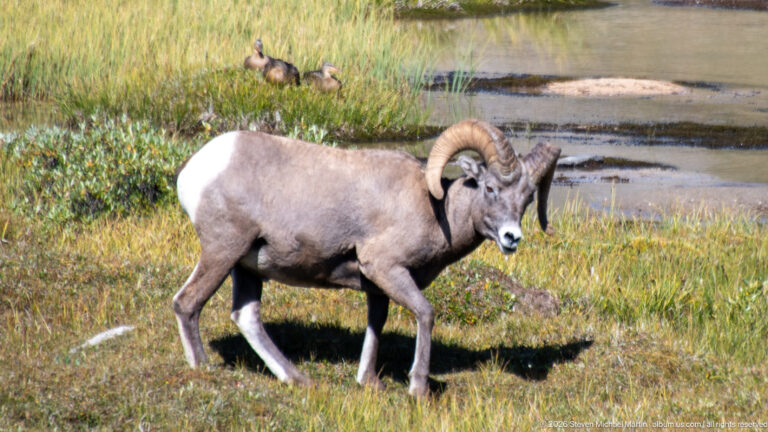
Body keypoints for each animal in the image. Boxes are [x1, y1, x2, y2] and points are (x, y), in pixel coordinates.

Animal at [173, 119, 560, 397]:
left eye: (527, 198)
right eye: (490, 188)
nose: (512, 238)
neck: (437, 210)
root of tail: (194, 171)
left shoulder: (377, 284)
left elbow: (377, 323)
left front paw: (368, 382)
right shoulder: (386, 268)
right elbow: (426, 313)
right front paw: (418, 388)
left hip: (247, 266)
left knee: (247, 317)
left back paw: (298, 379)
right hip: (223, 252)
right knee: (187, 302)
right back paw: (202, 367)